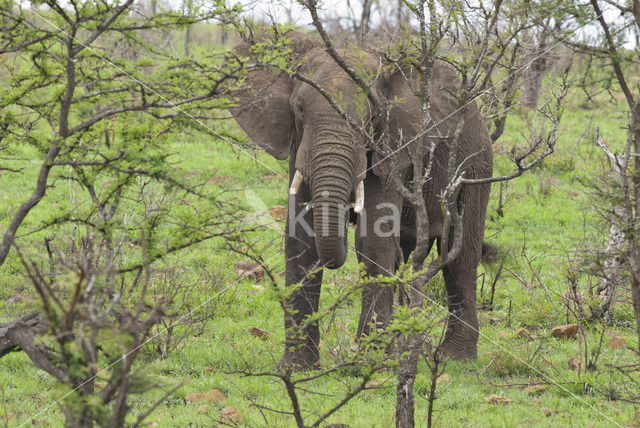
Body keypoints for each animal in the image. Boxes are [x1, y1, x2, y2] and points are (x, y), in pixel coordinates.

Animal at [230, 30, 496, 372]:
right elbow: (301, 240)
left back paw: (454, 358)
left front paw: (372, 365)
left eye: (370, 117)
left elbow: (373, 240)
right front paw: (296, 368)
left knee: (459, 254)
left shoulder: (393, 148)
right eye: (299, 109)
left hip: (476, 159)